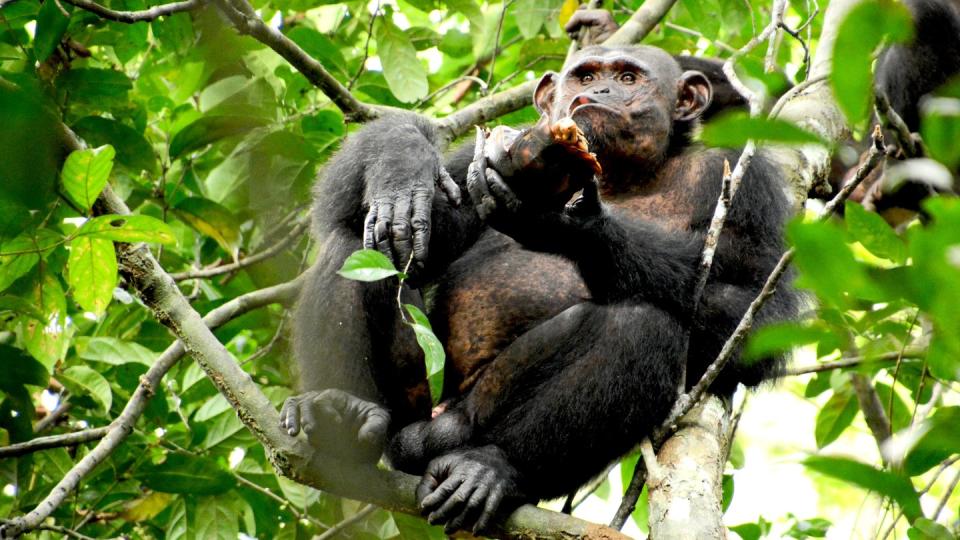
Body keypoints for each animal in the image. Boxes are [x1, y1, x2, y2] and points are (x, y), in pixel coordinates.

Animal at [282, 43, 800, 532]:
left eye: (628, 77)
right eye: (585, 76)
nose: (600, 92)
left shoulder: (746, 180)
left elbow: (759, 306)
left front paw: (566, 226)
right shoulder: (469, 166)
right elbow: (354, 211)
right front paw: (402, 168)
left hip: (466, 421)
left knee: (643, 324)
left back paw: (490, 469)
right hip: (414, 404)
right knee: (354, 246)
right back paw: (341, 413)